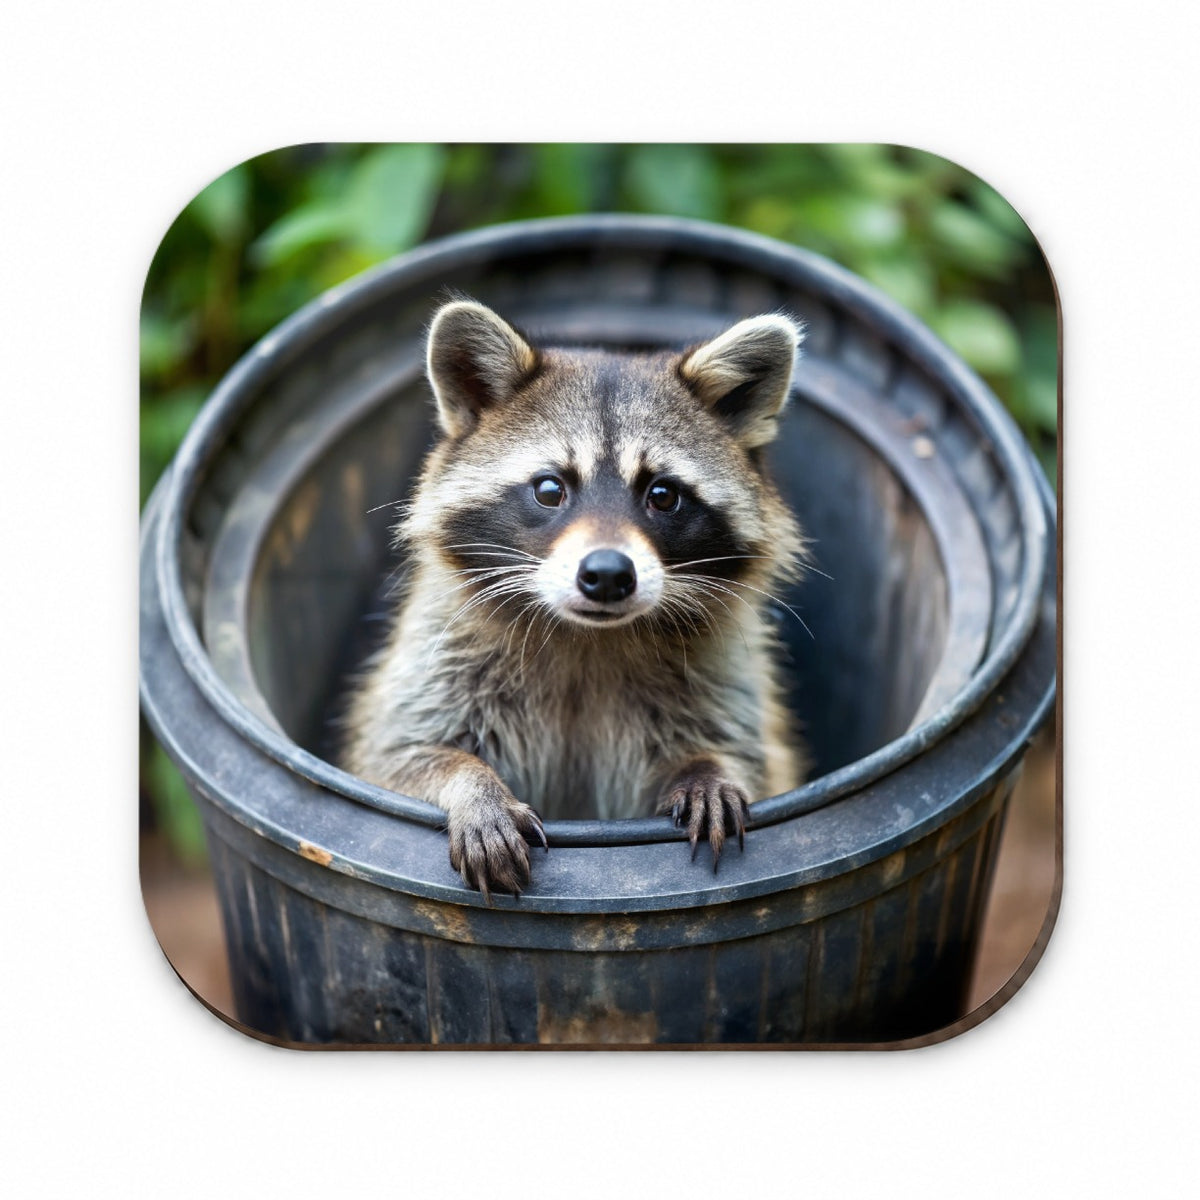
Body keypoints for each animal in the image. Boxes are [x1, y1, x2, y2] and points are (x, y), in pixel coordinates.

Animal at [341, 298, 808, 900]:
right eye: (549, 489)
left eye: (663, 494)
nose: (607, 575)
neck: (589, 636)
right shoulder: (437, 659)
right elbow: (396, 758)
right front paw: (470, 784)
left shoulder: (721, 680)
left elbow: (746, 756)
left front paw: (709, 769)